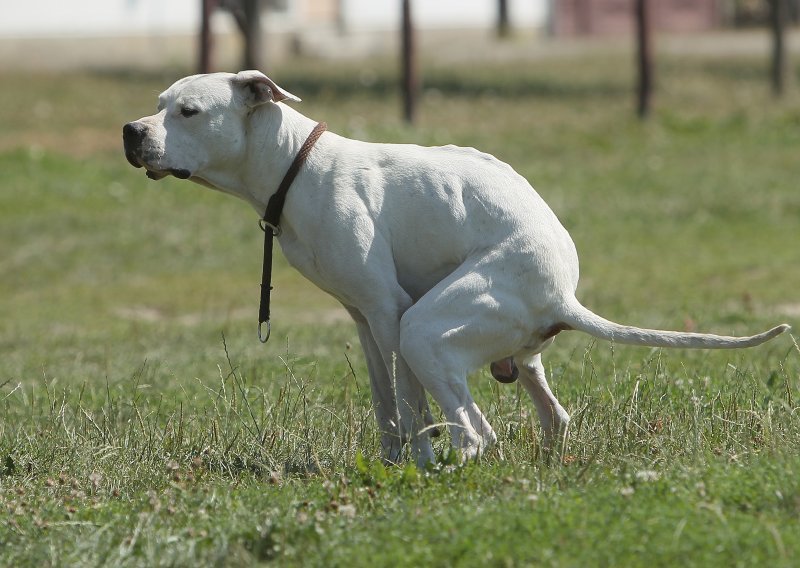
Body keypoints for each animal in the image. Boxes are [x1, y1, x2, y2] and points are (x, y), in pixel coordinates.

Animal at [122, 72, 792, 466]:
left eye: (188, 111)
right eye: (157, 106)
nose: (130, 131)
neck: (295, 164)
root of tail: (562, 296)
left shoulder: (390, 314)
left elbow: (411, 405)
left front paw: (415, 466)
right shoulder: (365, 321)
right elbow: (386, 404)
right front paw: (391, 464)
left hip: (425, 329)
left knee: (477, 433)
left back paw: (450, 469)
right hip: (511, 358)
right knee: (552, 419)